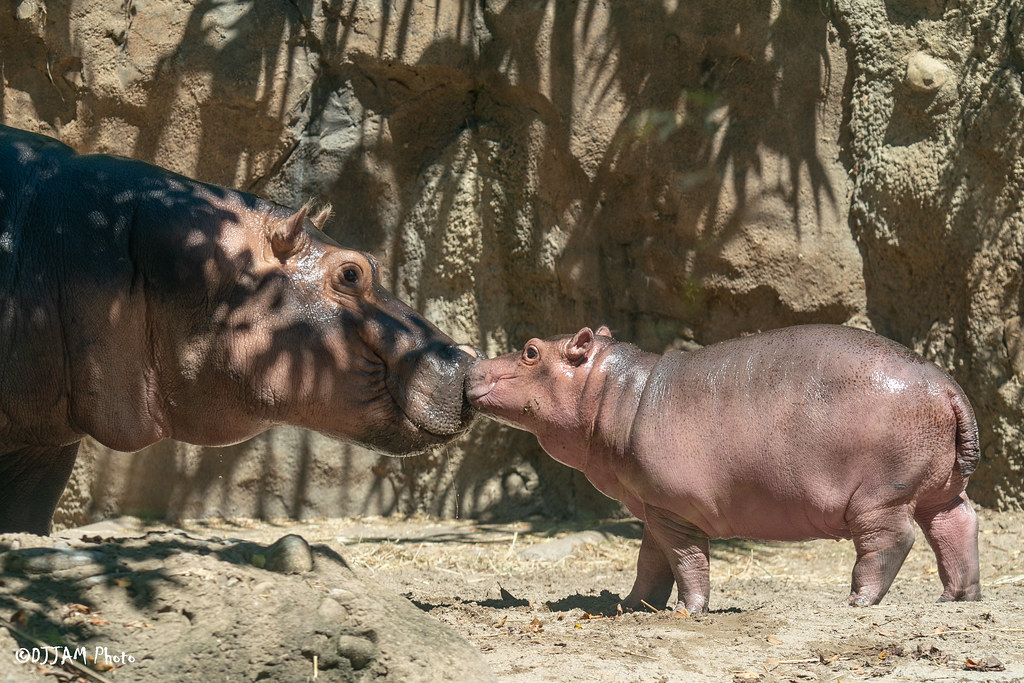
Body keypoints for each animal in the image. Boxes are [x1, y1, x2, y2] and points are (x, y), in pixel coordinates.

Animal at [466, 324, 982, 612]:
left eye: (530, 351)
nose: (470, 365)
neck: (615, 393)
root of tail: (948, 386)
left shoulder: (677, 511)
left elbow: (686, 561)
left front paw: (689, 611)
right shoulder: (656, 508)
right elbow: (650, 562)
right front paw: (631, 606)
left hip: (881, 494)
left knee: (891, 540)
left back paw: (858, 601)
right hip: (938, 487)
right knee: (957, 524)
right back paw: (957, 598)